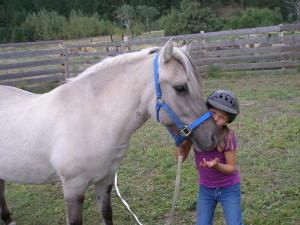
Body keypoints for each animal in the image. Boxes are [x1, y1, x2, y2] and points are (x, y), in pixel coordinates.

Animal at [0, 39, 217, 224]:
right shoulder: (72, 188)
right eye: (180, 88)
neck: (91, 120)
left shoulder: (105, 180)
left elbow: (106, 213)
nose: (213, 136)